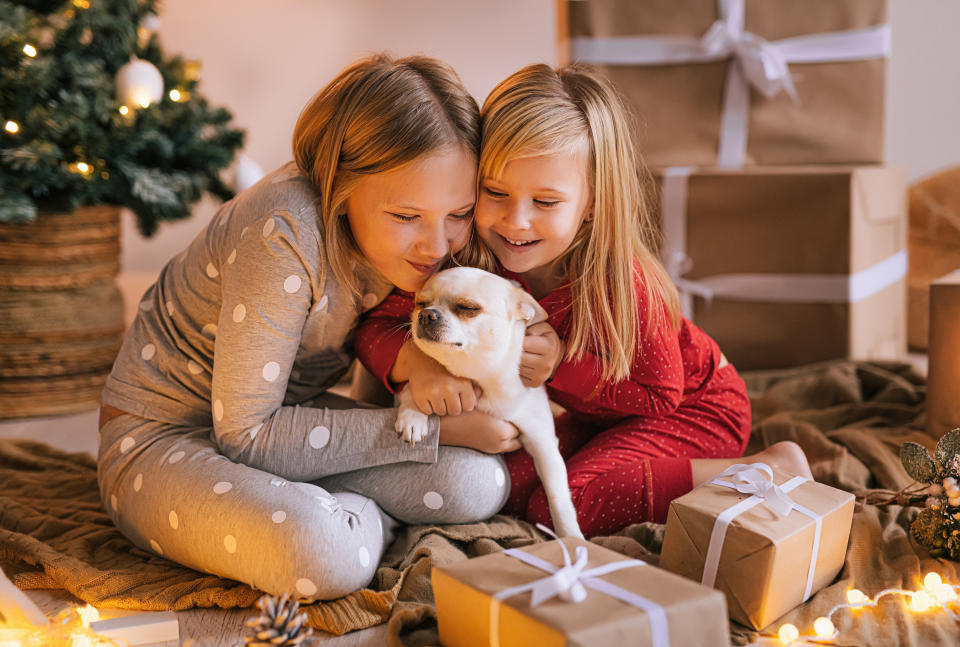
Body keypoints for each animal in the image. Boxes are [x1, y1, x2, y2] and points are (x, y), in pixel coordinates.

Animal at [392, 266, 584, 540]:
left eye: (468, 308)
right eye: (420, 304)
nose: (427, 315)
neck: (480, 376)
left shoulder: (543, 442)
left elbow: (558, 496)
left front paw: (571, 537)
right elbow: (411, 389)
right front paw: (413, 417)